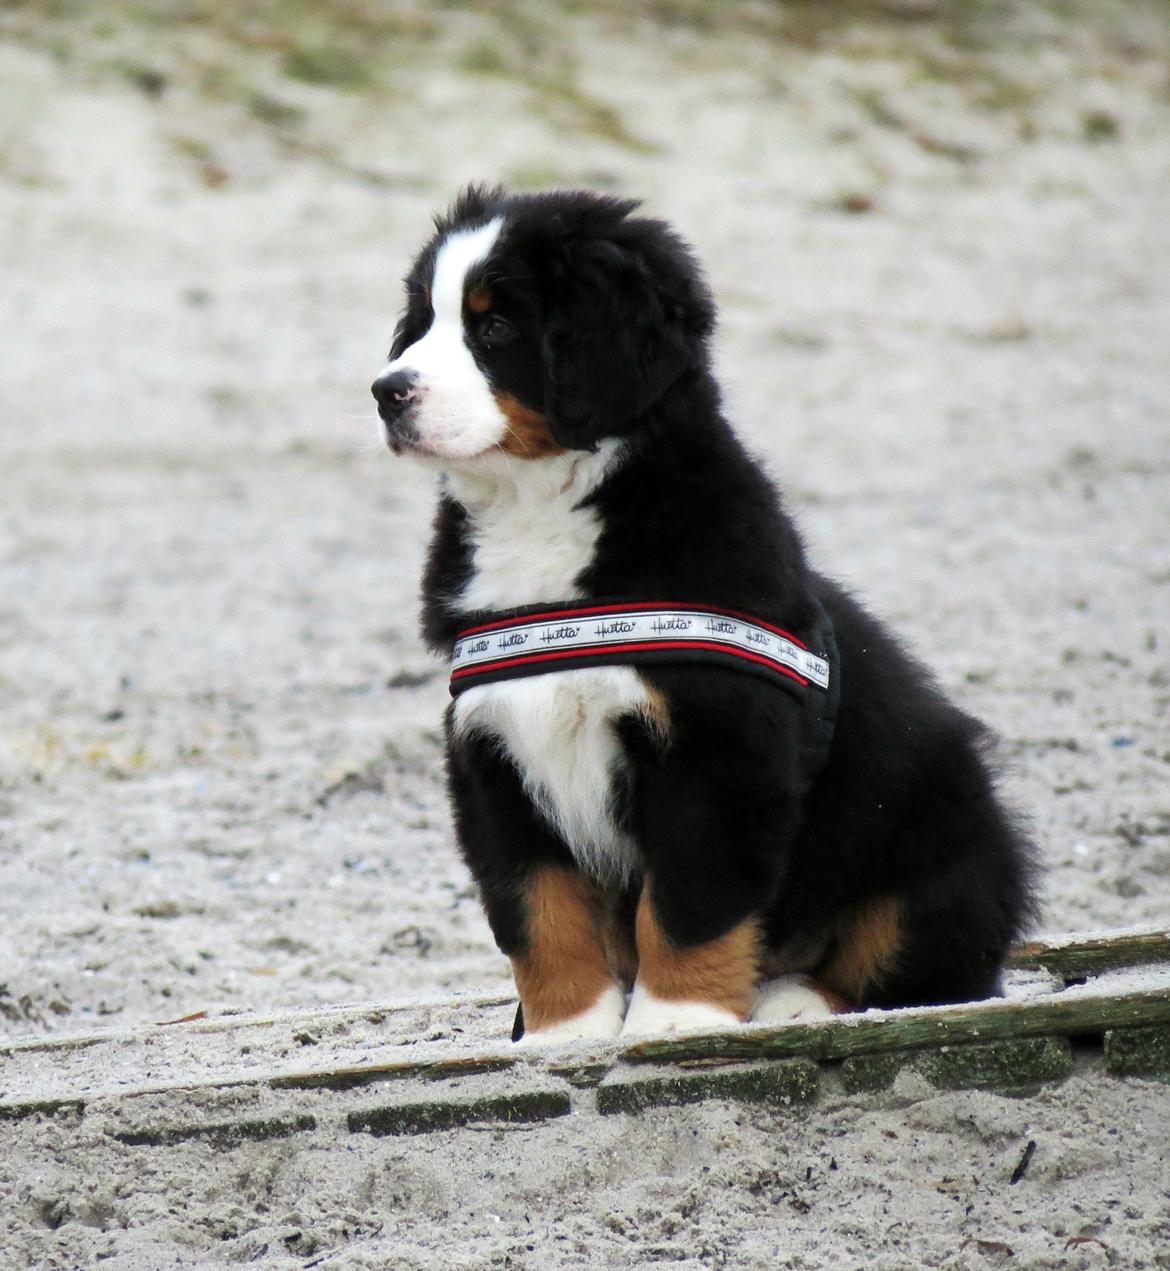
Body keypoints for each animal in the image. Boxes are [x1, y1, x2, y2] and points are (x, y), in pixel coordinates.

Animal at [370, 185, 1036, 1042]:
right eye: (421, 321)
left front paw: (674, 1020)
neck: (541, 514)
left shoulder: (718, 747)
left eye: (494, 328)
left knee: (924, 968)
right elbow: (538, 911)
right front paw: (563, 1033)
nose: (386, 391)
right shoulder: (495, 755)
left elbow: (687, 904)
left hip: (946, 837)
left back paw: (793, 997)